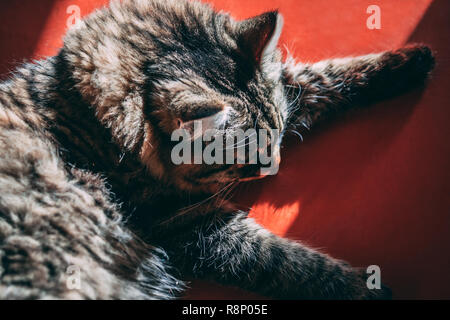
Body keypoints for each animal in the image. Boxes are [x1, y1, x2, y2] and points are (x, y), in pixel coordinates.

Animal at [0, 0, 436, 300]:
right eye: (247, 160)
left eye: (278, 137)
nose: (276, 166)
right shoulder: (195, 227)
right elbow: (290, 263)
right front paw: (366, 288)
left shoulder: (292, 89)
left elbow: (323, 77)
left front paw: (410, 62)